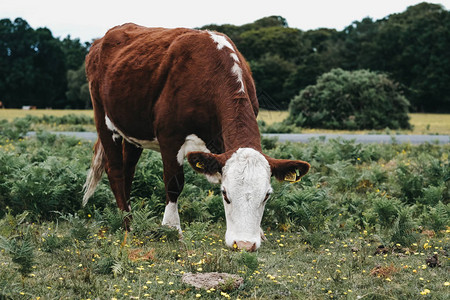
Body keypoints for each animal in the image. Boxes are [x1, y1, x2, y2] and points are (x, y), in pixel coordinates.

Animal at [82, 24, 310, 251]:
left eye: (266, 196)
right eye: (225, 194)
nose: (244, 244)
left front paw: (261, 233)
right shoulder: (169, 137)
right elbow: (174, 182)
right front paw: (172, 229)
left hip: (132, 131)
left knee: (128, 170)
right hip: (103, 117)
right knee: (115, 170)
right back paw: (127, 224)